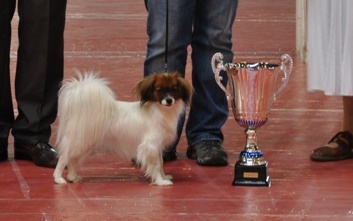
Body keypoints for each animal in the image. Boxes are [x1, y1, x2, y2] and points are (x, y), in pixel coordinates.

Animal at [53, 70, 192, 185]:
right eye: (159, 90)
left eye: (174, 89)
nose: (169, 100)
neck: (160, 110)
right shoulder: (150, 145)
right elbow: (156, 165)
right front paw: (160, 181)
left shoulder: (157, 146)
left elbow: (161, 163)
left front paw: (164, 177)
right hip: (78, 141)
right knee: (64, 158)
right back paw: (58, 178)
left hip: (84, 143)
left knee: (72, 160)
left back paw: (72, 177)